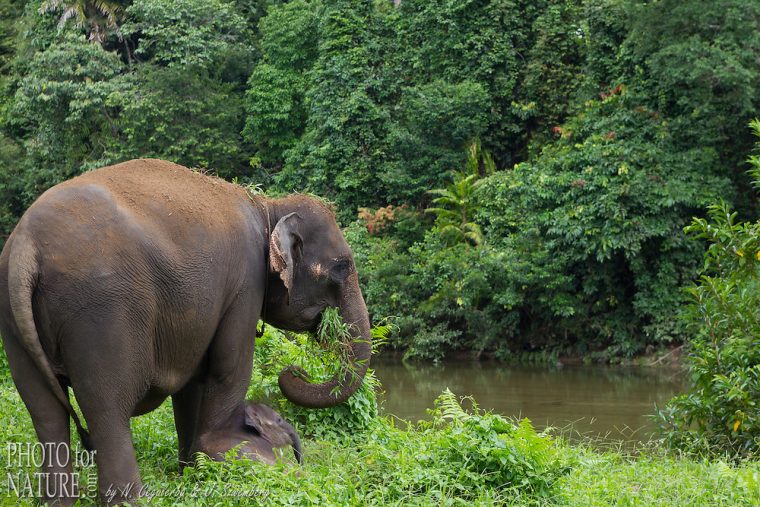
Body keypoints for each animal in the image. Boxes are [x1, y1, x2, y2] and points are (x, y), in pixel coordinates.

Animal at [0, 158, 372, 504]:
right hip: (100, 312)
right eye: (343, 267)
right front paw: (228, 451)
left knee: (45, 410)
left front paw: (192, 470)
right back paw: (132, 499)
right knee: (106, 407)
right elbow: (228, 369)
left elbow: (194, 382)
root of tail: (25, 246)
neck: (267, 206)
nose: (295, 371)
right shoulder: (245, 283)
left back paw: (58, 500)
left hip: (16, 323)